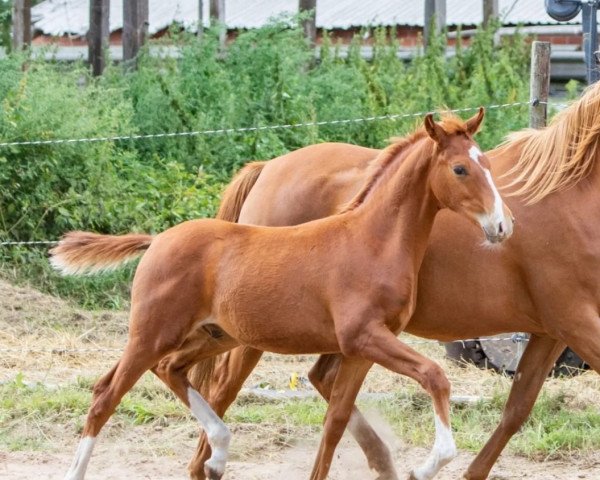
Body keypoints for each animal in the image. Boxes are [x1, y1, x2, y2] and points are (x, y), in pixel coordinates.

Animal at [50, 110, 510, 478]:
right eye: (460, 170)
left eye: (487, 164)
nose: (502, 226)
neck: (371, 241)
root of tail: (158, 239)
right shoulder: (363, 336)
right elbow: (436, 376)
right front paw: (425, 466)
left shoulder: (361, 349)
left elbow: (335, 423)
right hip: (152, 333)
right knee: (105, 395)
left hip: (213, 336)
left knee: (170, 370)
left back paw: (220, 448)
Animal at [190, 83, 600, 480]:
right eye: (460, 170)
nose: (503, 226)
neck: (569, 194)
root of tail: (267, 169)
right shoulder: (574, 321)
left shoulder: (551, 331)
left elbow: (517, 408)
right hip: (257, 333)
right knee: (223, 389)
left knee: (321, 382)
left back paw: (381, 461)